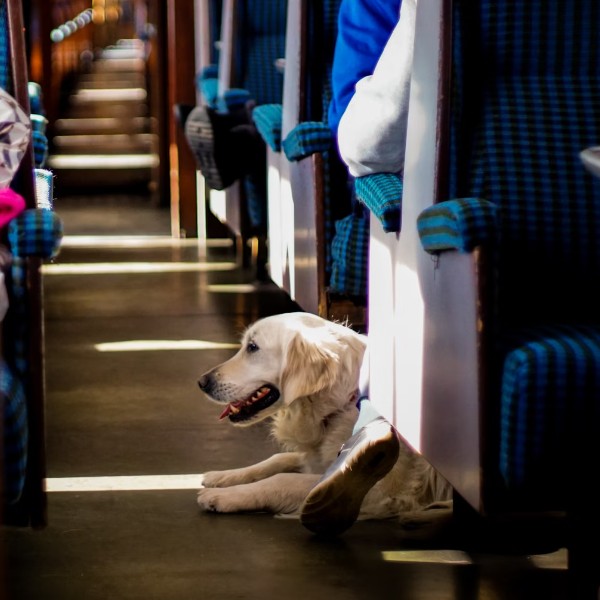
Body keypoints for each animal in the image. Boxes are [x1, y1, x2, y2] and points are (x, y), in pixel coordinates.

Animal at [196, 312, 450, 528]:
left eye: (253, 347)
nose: (202, 382)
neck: (344, 402)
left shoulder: (378, 487)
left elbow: (283, 479)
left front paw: (225, 496)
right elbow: (277, 459)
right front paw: (223, 476)